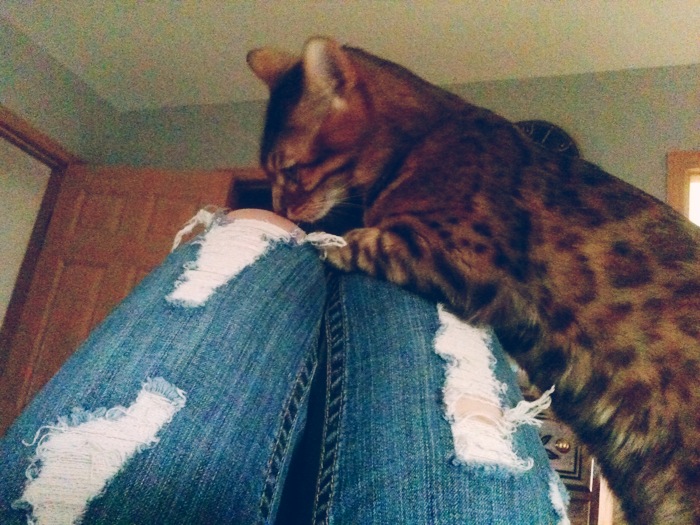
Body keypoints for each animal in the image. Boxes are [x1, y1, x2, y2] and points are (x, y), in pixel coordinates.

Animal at [248, 37, 700, 524]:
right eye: (270, 172)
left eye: (290, 169)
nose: (281, 209)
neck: (424, 137)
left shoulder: (459, 260)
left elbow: (361, 240)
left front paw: (320, 242)